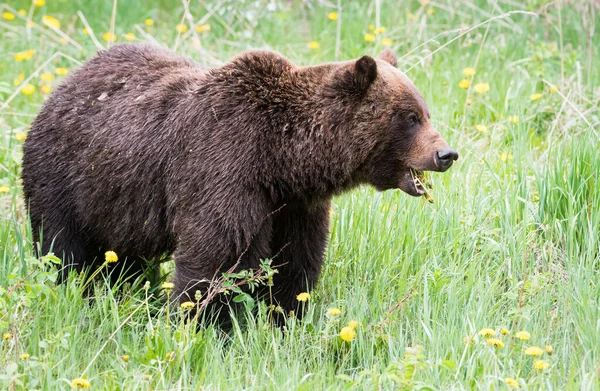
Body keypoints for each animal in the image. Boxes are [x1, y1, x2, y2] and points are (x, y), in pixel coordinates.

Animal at [21, 45, 458, 322]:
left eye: (424, 111)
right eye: (409, 118)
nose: (446, 153)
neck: (282, 160)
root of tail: (61, 86)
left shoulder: (294, 205)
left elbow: (294, 262)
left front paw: (284, 316)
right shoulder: (225, 167)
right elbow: (218, 258)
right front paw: (205, 322)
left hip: (117, 202)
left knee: (124, 261)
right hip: (67, 179)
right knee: (64, 250)